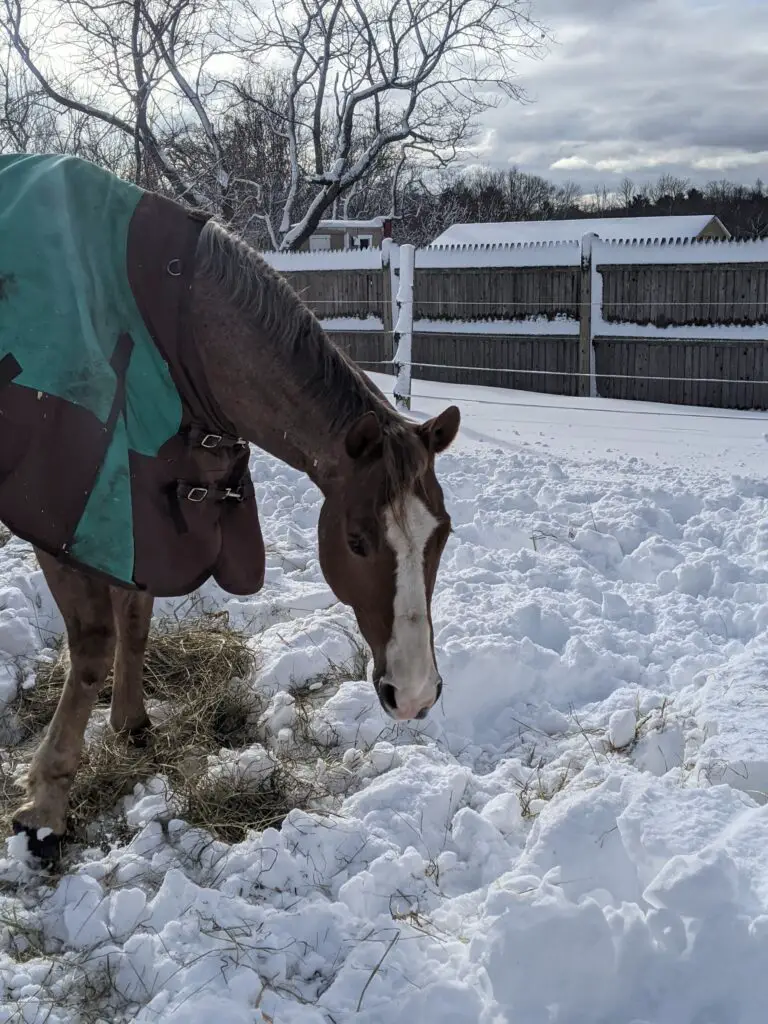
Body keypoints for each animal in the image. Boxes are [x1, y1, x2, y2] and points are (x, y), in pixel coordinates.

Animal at [0, 155, 462, 860]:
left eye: (442, 537)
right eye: (356, 541)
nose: (412, 695)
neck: (177, 329)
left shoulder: (140, 497)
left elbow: (135, 617)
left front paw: (132, 724)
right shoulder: (68, 515)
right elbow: (94, 647)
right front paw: (46, 804)